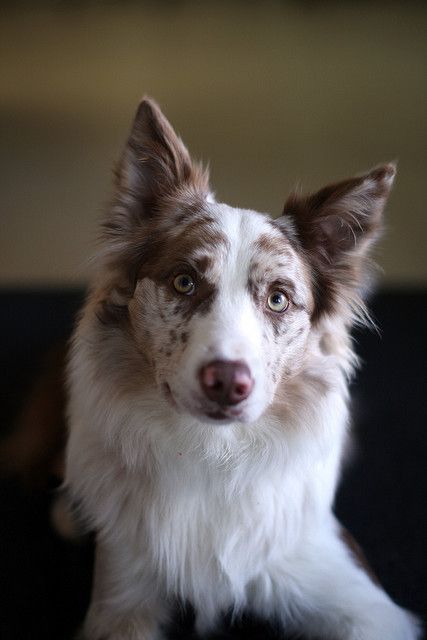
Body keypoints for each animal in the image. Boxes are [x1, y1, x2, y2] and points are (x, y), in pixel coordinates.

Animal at [65, 97, 422, 636]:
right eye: (185, 282)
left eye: (278, 299)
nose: (227, 382)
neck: (214, 453)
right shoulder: (123, 590)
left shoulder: (355, 594)